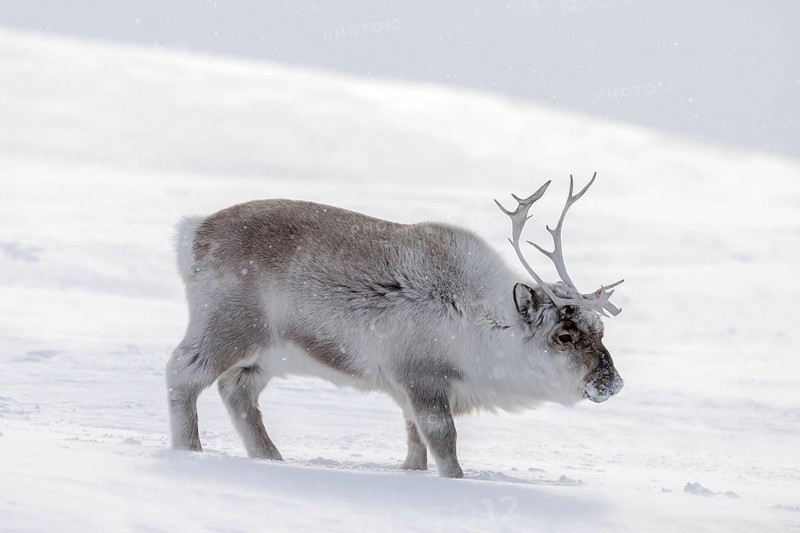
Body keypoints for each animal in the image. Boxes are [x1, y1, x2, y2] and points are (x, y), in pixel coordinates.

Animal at [166, 173, 624, 478]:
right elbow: (442, 441)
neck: (482, 322)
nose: (613, 383)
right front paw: (454, 481)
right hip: (227, 326)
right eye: (563, 336)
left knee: (236, 390)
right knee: (183, 372)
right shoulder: (423, 378)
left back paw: (270, 459)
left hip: (267, 355)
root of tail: (194, 232)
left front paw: (409, 473)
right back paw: (189, 451)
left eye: (601, 331)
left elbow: (414, 442)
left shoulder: (407, 392)